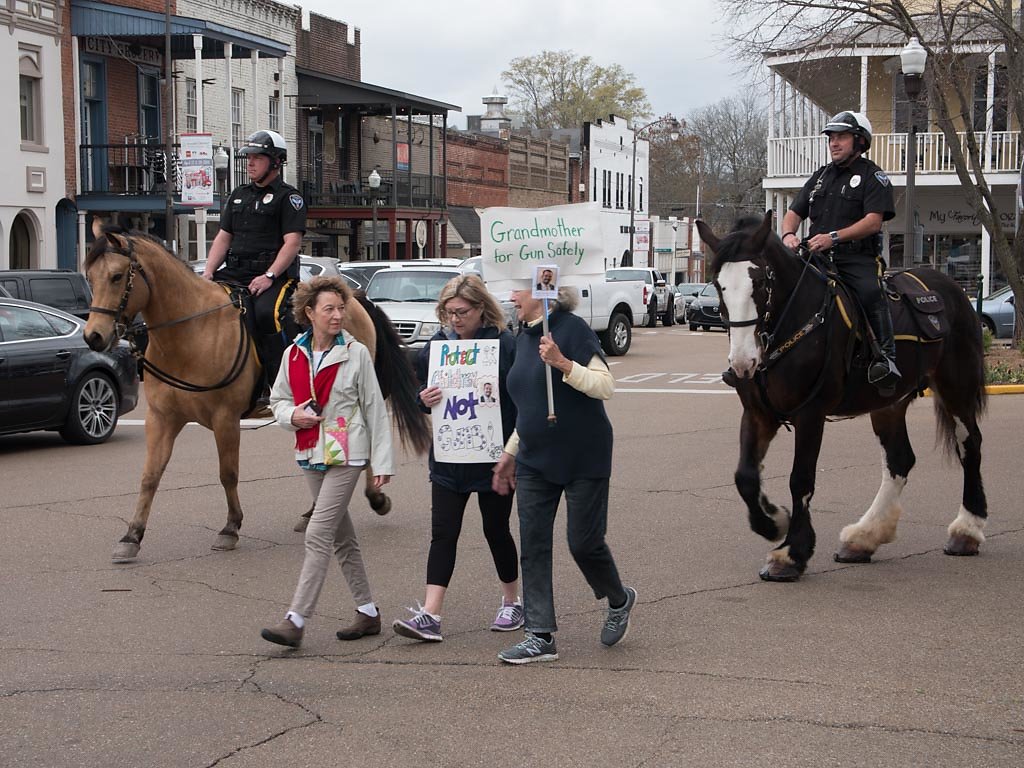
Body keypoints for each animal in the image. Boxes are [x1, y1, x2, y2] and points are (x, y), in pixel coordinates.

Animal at [82, 228, 428, 565]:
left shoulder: (225, 418)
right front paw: (131, 536)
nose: (93, 336)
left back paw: (374, 499)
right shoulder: (161, 418)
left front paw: (230, 527)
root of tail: (354, 297)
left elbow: (228, 473)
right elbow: (150, 476)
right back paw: (315, 512)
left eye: (116, 276)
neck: (191, 332)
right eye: (90, 277)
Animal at [692, 211, 987, 581]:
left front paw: (791, 553)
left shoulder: (810, 414)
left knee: (970, 446)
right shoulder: (759, 413)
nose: (743, 363)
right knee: (899, 460)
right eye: (719, 286)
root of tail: (952, 289)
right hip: (888, 404)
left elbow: (800, 480)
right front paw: (773, 522)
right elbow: (745, 477)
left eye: (759, 283)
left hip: (956, 387)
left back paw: (967, 530)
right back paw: (864, 537)